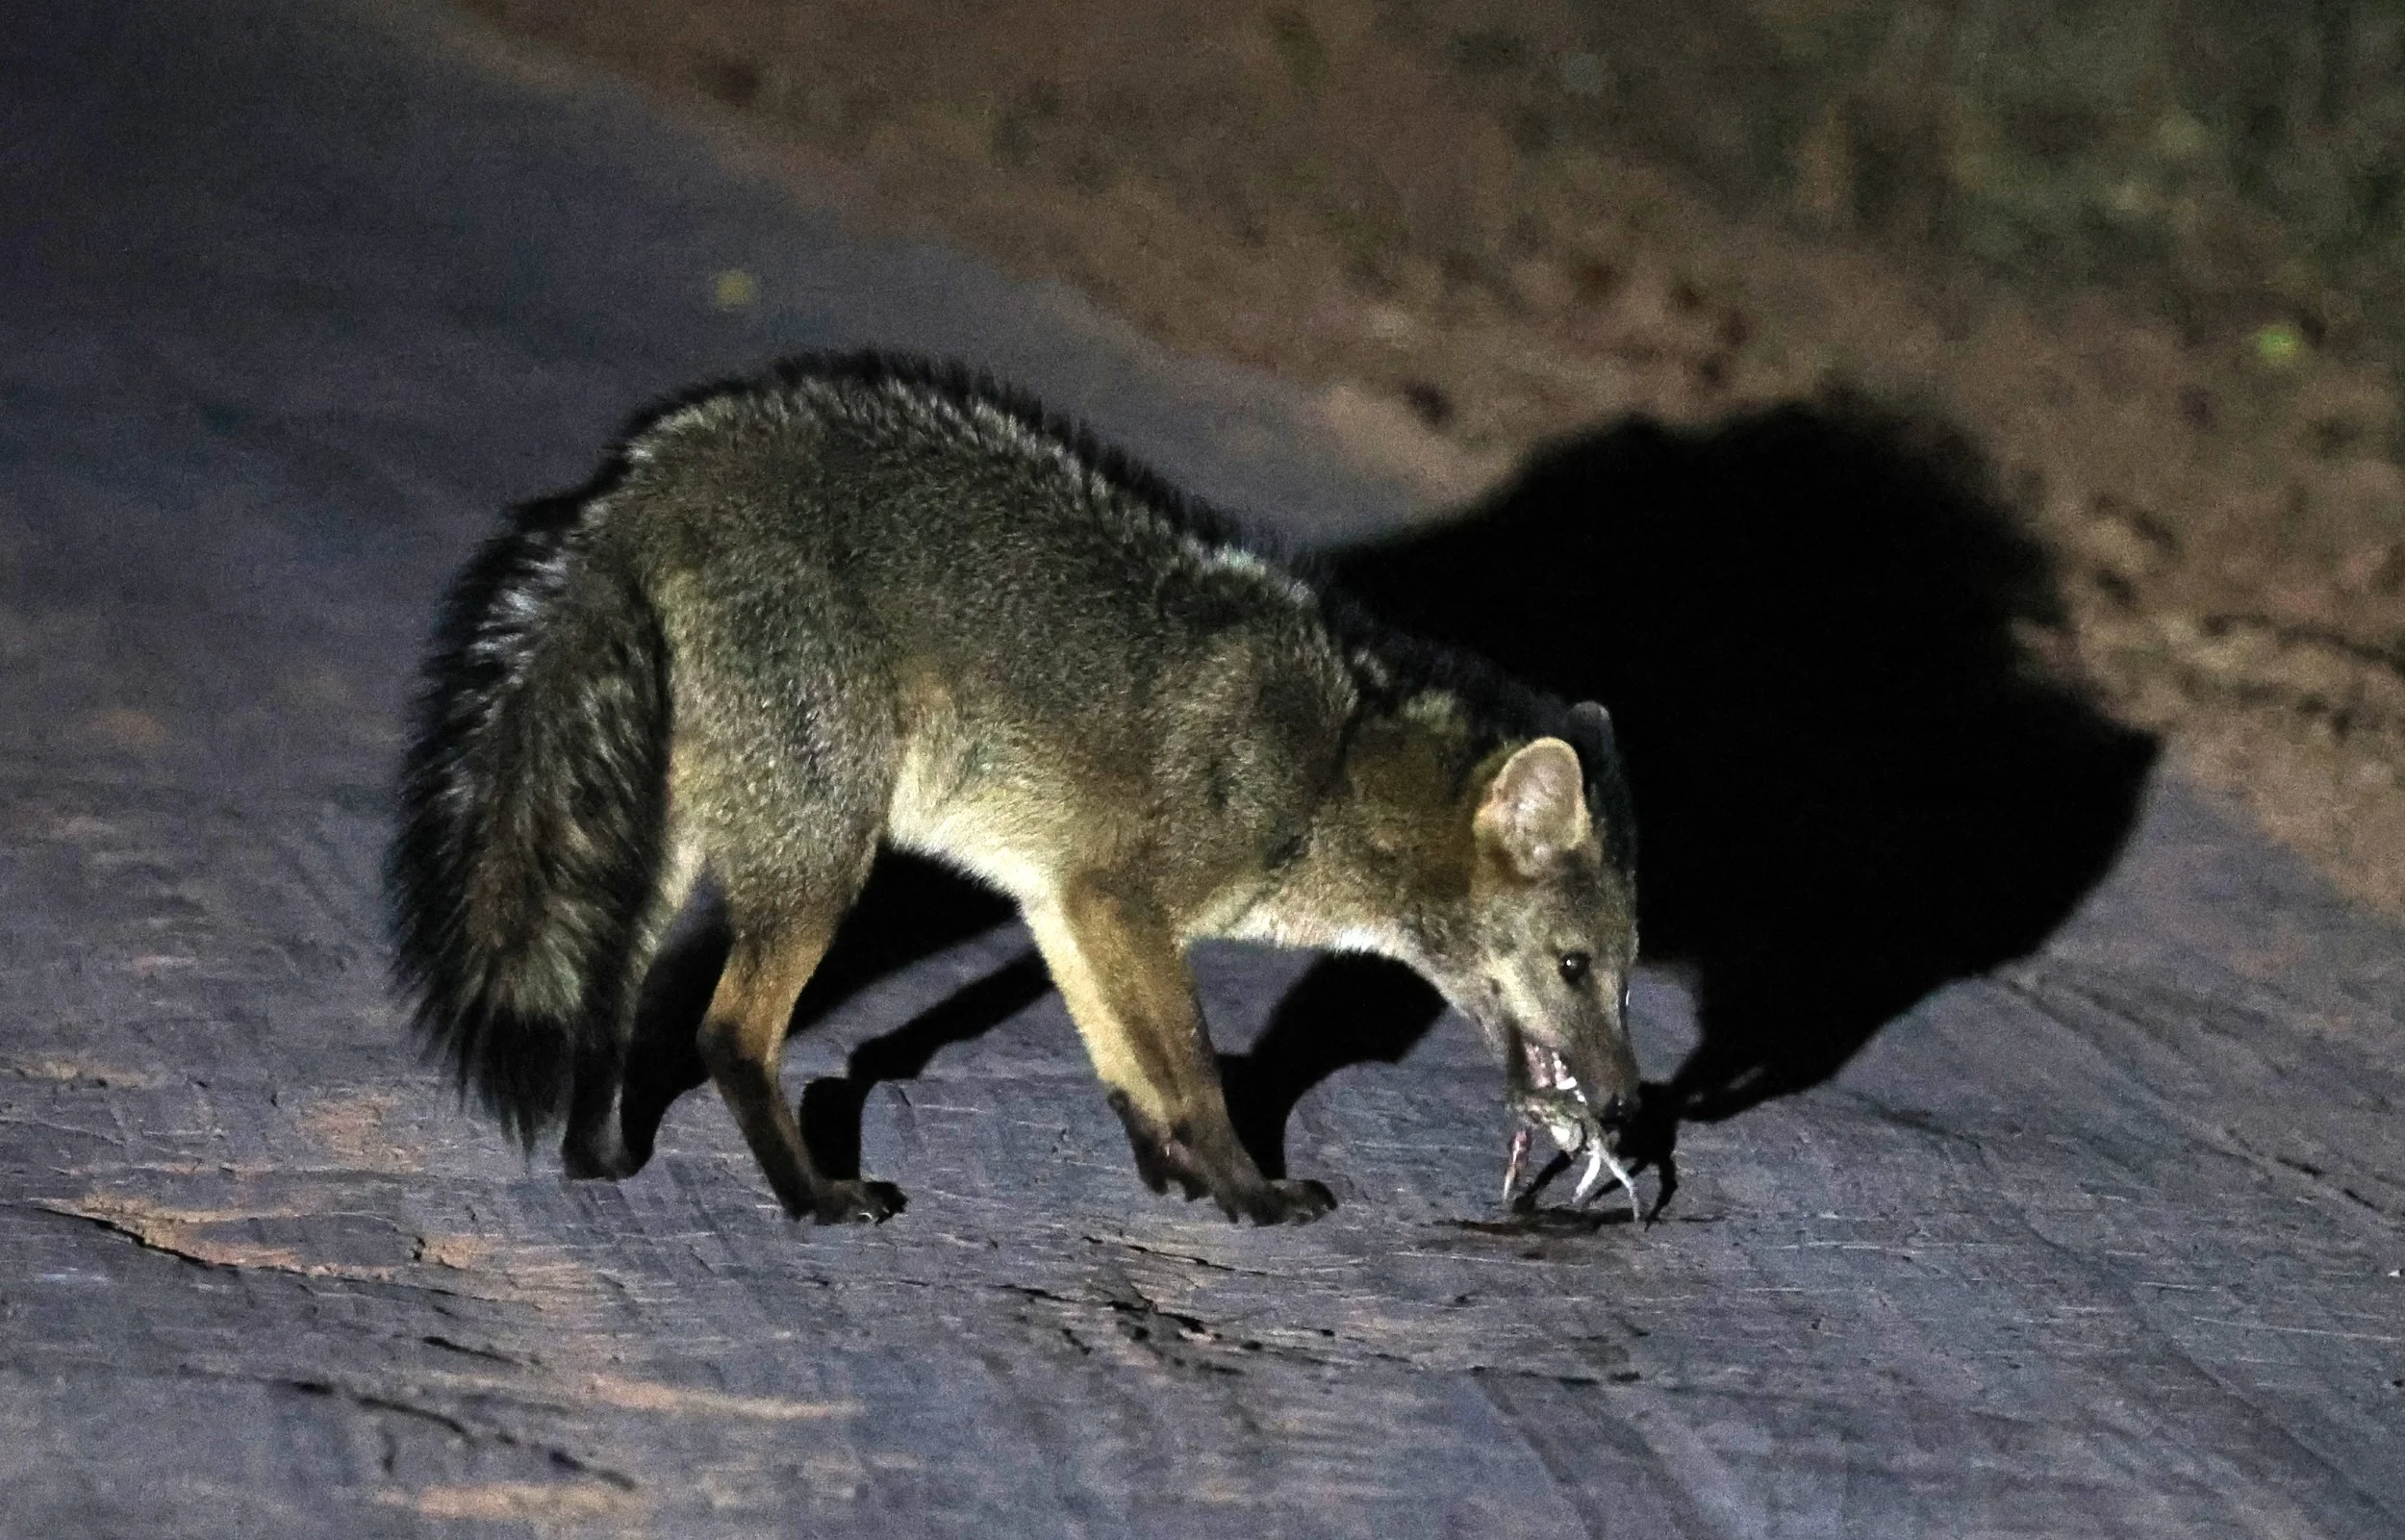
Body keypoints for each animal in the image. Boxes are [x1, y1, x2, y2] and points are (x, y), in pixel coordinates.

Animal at [389, 353, 1641, 1225]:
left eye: (1627, 977)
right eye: (1577, 967)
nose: (1629, 1109)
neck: (1332, 759)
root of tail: (659, 467)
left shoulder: (1063, 899)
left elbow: (1128, 1066)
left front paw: (1178, 1173)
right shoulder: (1124, 902)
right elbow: (1194, 1066)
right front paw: (1248, 1189)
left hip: (673, 851)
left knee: (612, 1003)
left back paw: (597, 1156)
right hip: (824, 863)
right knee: (726, 1031)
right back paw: (811, 1196)